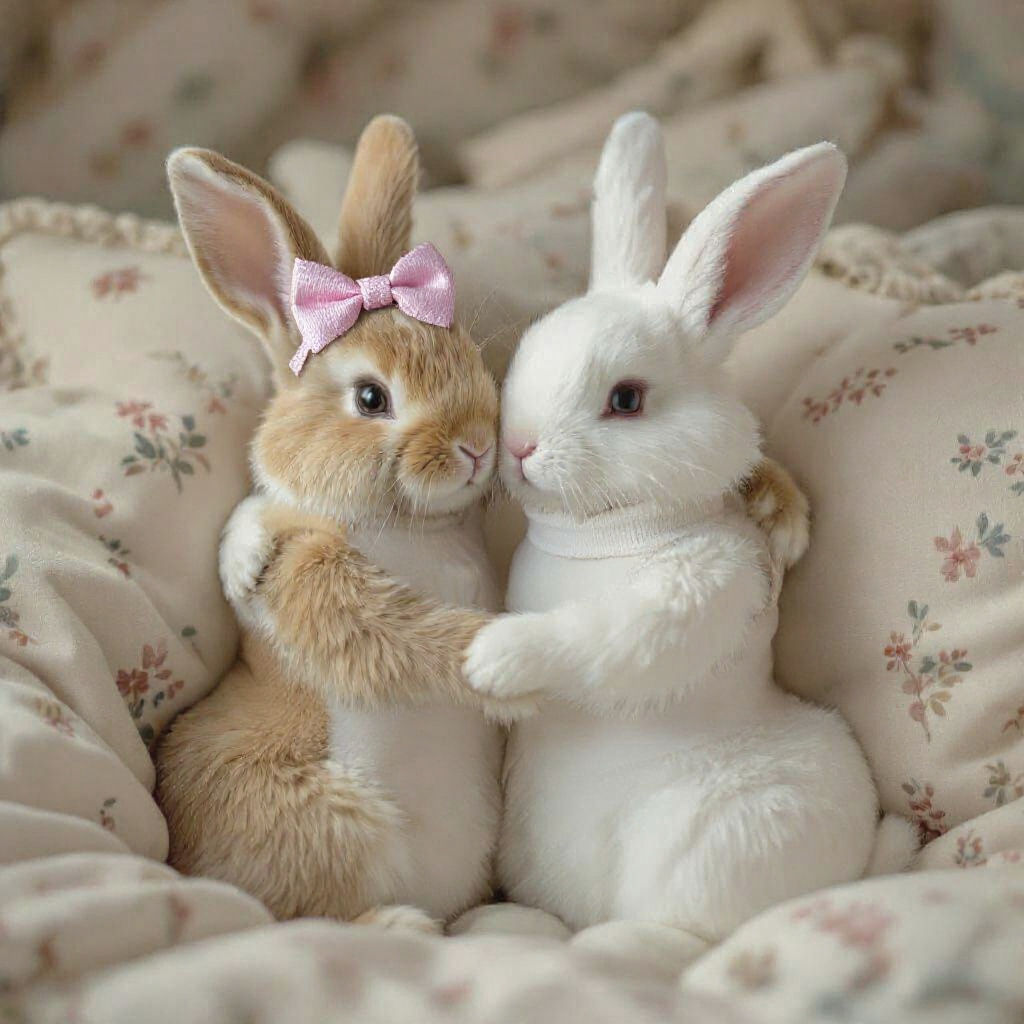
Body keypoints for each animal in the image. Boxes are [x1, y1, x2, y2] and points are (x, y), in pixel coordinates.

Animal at [155, 116, 535, 932]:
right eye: (370, 398)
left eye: (464, 354)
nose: (476, 445)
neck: (412, 528)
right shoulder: (314, 578)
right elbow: (413, 643)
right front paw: (522, 670)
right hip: (334, 827)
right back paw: (402, 924)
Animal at [463, 113, 917, 953]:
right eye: (525, 357)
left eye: (626, 399)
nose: (519, 447)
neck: (609, 530)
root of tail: (855, 863)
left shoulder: (701, 583)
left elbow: (606, 638)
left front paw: (493, 661)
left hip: (714, 839)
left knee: (685, 933)